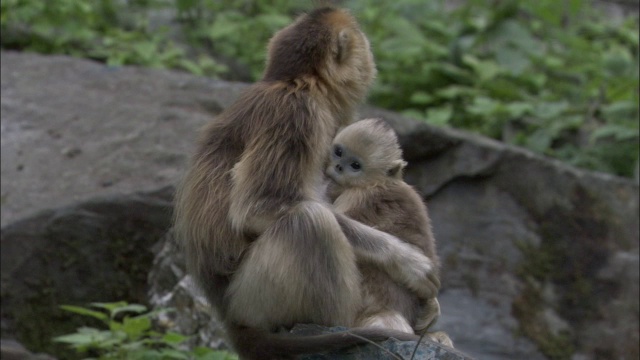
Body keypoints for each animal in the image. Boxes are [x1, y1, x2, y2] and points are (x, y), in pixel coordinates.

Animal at [172, 6, 438, 360]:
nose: (370, 57)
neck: (291, 82)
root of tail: (228, 316)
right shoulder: (299, 113)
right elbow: (259, 208)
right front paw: (407, 261)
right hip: (252, 302)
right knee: (310, 222)